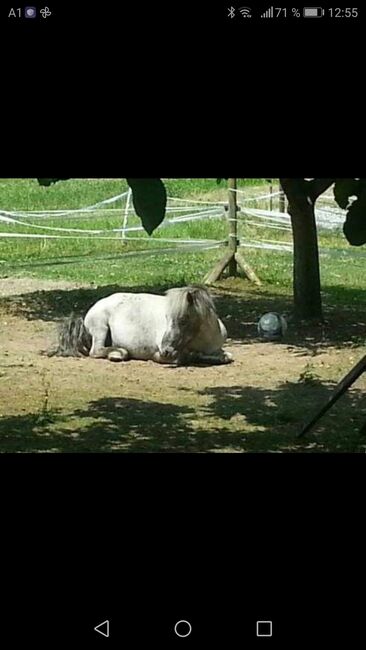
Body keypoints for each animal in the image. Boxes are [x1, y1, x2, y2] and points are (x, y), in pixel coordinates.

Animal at [49, 284, 232, 364]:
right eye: (167, 318)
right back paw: (117, 354)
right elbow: (181, 358)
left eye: (183, 319)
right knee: (96, 351)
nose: (166, 350)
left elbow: (225, 356)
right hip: (100, 328)